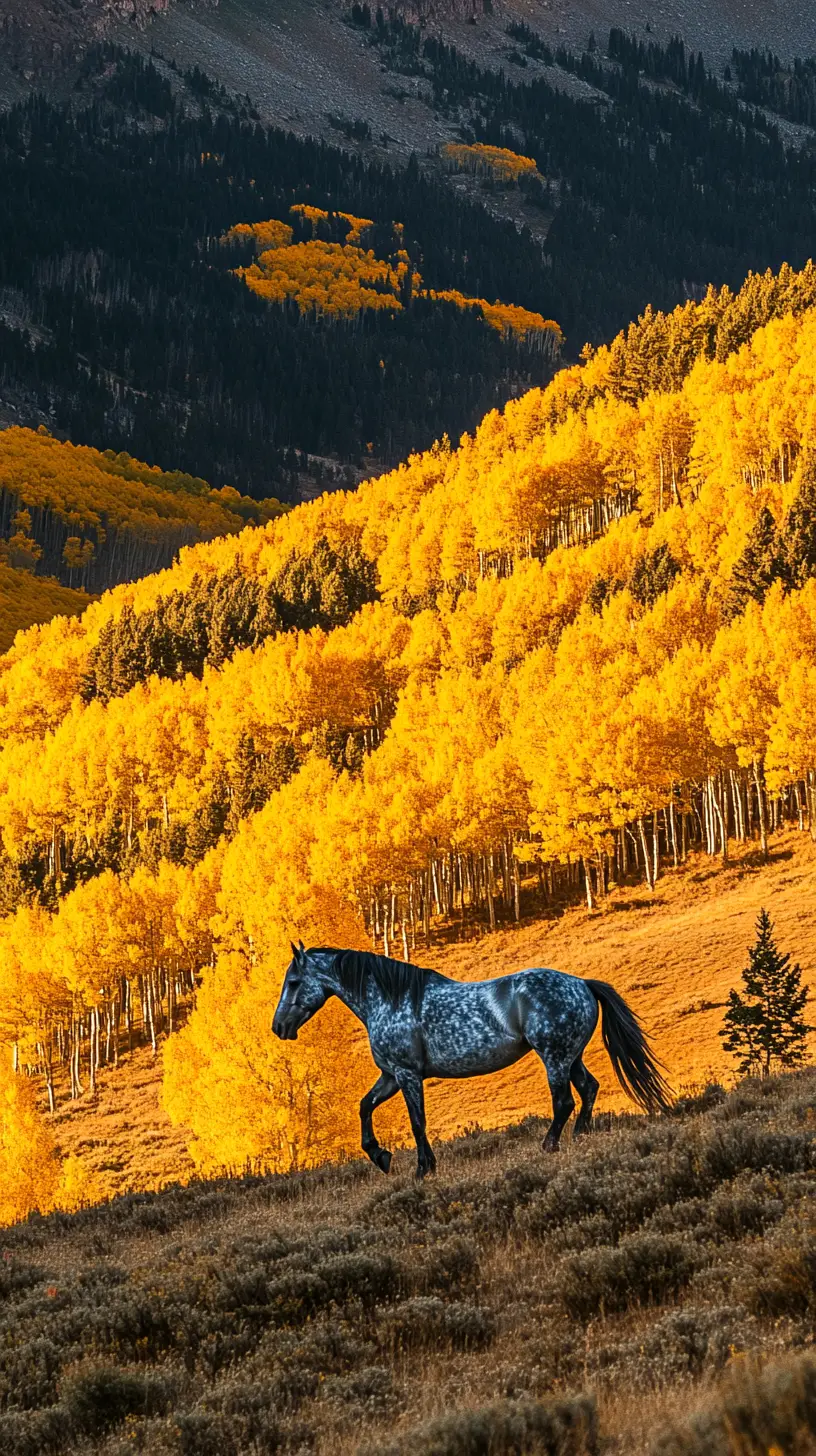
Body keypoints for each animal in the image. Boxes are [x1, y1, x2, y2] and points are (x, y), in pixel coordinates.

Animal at [272, 941, 672, 1178]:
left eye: (293, 982)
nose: (279, 1027)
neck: (389, 999)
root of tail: (583, 985)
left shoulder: (407, 1074)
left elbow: (417, 1122)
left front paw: (423, 1168)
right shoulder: (390, 1075)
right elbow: (364, 1106)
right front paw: (381, 1156)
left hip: (555, 1057)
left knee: (564, 1101)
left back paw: (550, 1145)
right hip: (571, 1056)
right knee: (589, 1089)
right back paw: (581, 1136)